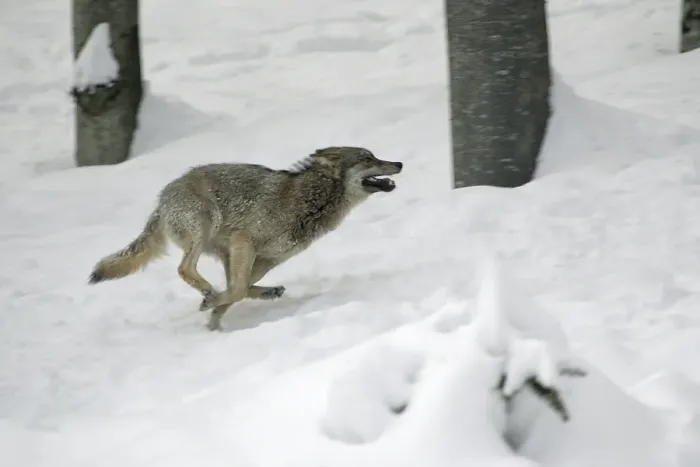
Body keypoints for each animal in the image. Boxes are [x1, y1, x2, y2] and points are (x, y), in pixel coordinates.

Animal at [88, 146, 403, 331]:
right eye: (368, 159)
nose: (399, 162)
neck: (310, 201)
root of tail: (162, 198)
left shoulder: (265, 259)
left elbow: (238, 290)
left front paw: (215, 321)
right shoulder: (244, 243)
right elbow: (237, 290)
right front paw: (212, 308)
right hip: (204, 227)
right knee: (184, 269)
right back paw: (209, 292)